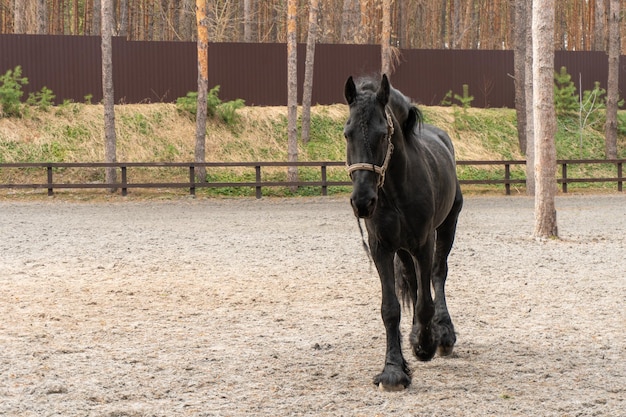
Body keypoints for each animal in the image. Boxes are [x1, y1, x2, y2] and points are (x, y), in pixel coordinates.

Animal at [342, 74, 464, 390]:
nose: (362, 201)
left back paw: (442, 335)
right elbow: (391, 308)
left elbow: (425, 303)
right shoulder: (381, 247)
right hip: (403, 249)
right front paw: (394, 370)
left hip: (446, 227)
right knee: (413, 280)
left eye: (384, 134)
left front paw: (425, 346)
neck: (396, 190)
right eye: (347, 133)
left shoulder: (424, 243)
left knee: (437, 275)